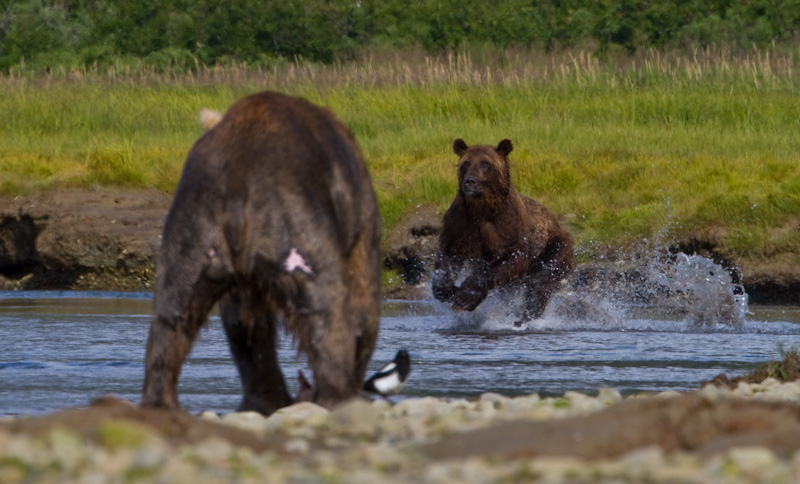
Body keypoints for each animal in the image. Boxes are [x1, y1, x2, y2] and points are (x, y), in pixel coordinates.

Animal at [140, 91, 382, 416]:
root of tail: (239, 188)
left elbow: (247, 324)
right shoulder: (359, 212)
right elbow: (363, 296)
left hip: (193, 228)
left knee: (173, 311)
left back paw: (164, 401)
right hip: (296, 226)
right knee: (327, 303)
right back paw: (340, 394)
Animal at [432, 139, 576, 322]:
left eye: (485, 163)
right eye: (465, 163)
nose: (470, 181)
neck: (481, 209)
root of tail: (557, 223)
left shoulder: (509, 231)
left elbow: (509, 261)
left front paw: (466, 297)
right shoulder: (458, 224)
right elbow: (448, 256)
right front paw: (451, 291)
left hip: (554, 248)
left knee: (541, 283)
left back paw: (525, 317)